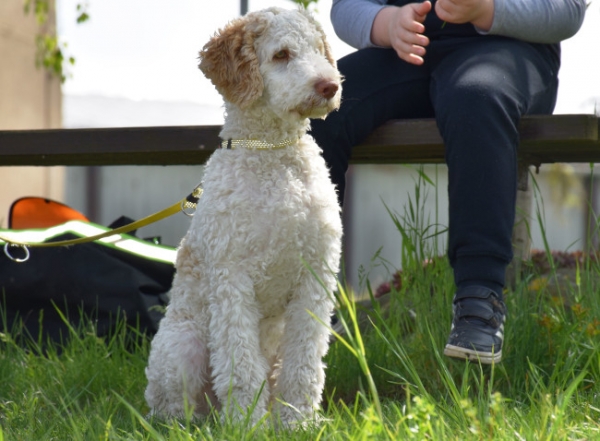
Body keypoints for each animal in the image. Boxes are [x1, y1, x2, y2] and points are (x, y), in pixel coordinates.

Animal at [144, 6, 342, 426]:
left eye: (318, 49)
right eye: (281, 54)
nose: (330, 86)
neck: (273, 153)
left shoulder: (315, 276)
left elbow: (304, 363)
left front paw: (298, 422)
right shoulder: (231, 277)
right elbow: (240, 364)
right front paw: (246, 425)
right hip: (183, 345)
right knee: (173, 406)